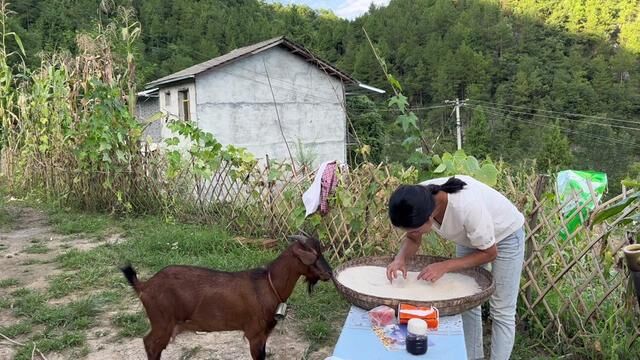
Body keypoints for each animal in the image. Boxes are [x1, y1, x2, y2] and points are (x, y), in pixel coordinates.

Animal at [120, 233, 332, 360]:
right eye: (313, 256)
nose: (329, 273)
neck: (268, 284)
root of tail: (144, 285)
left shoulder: (264, 334)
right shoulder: (255, 333)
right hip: (162, 321)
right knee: (150, 344)